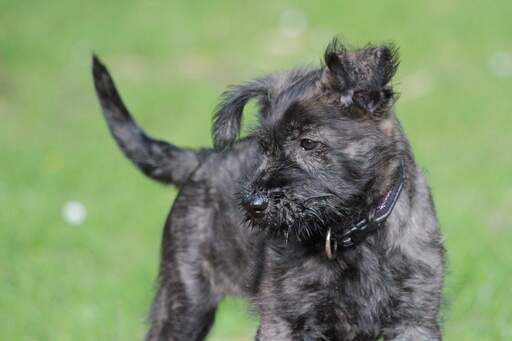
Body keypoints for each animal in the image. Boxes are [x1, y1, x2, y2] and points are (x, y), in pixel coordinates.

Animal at [94, 38, 446, 338]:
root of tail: (204, 159)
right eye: (264, 148)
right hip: (184, 300)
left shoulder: (416, 319)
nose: (254, 204)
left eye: (308, 143)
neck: (353, 234)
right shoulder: (284, 319)